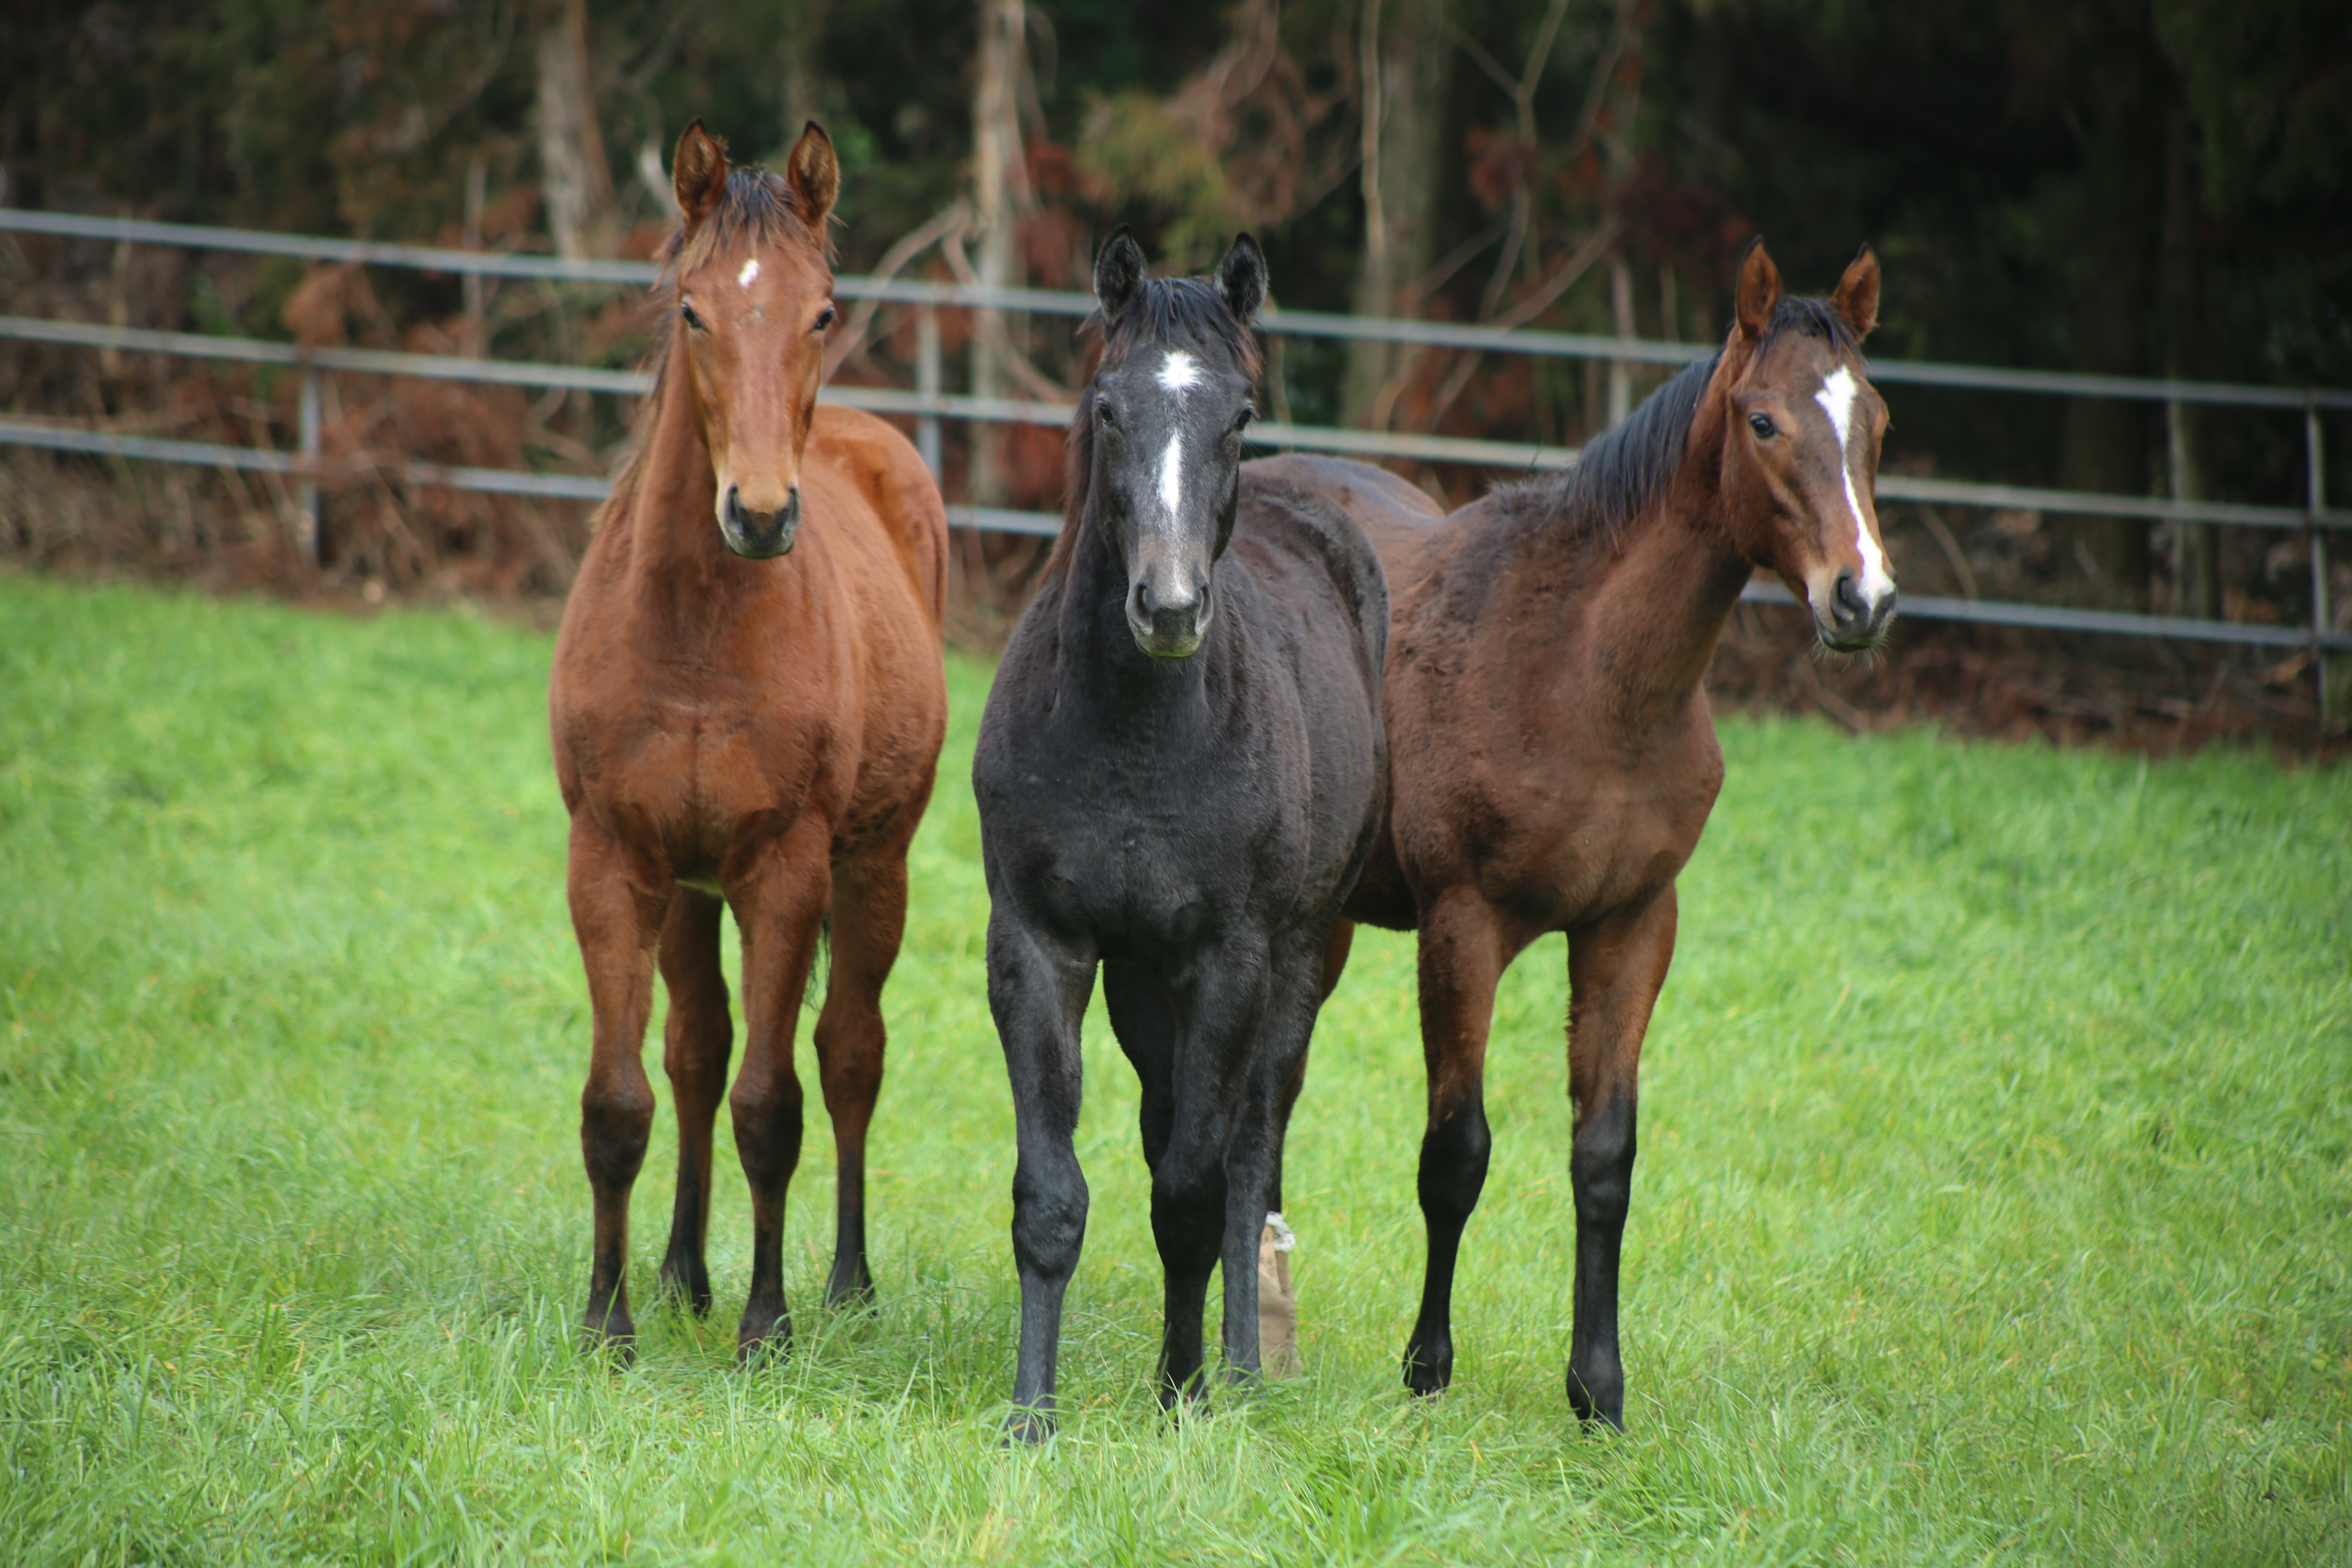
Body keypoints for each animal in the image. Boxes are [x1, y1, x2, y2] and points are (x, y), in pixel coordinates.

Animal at [548, 122, 945, 1363]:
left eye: (823, 311)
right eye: (692, 310)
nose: (761, 514)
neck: (695, 629)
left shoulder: (785, 869)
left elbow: (774, 1105)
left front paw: (767, 1324)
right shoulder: (613, 861)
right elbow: (620, 1100)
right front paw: (607, 1321)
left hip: (873, 870)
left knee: (848, 1054)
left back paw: (847, 1284)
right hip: (689, 887)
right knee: (695, 1049)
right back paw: (681, 1271)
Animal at [978, 230, 1392, 1439]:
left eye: (1238, 415)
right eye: (1109, 407)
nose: (1167, 608)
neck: (1134, 734)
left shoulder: (1230, 962)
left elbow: (1196, 1193)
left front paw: (1185, 1397)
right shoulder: (1041, 950)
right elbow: (1053, 1195)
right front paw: (1032, 1414)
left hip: (1299, 968)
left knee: (1251, 1154)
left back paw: (1245, 1365)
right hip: (1138, 986)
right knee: (1175, 1127)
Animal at [1251, 240, 1891, 1429]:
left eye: (1872, 417)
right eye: (1763, 421)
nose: (1860, 598)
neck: (1586, 673)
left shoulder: (1632, 925)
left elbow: (1604, 1156)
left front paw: (1598, 1388)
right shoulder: (1465, 927)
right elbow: (1454, 1153)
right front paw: (1427, 1368)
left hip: (1324, 926)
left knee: (1270, 1083)